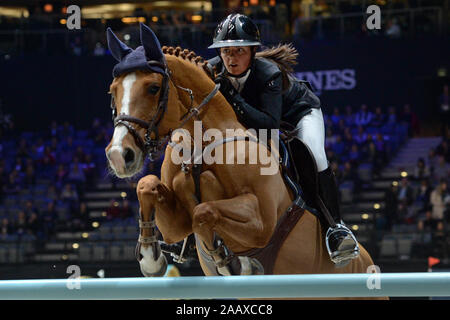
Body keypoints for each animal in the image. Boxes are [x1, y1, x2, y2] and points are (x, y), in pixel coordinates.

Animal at [105, 23, 384, 298]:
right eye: (112, 91)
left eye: (153, 88)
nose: (119, 155)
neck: (202, 145)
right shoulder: (177, 225)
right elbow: (148, 186)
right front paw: (151, 258)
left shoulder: (262, 222)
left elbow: (203, 211)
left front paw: (230, 262)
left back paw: (341, 240)